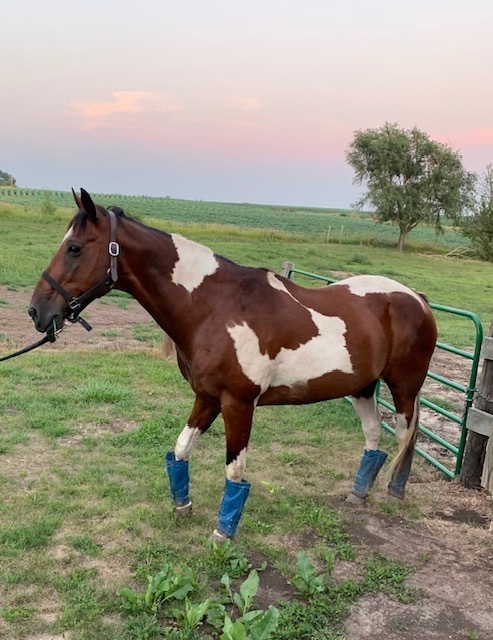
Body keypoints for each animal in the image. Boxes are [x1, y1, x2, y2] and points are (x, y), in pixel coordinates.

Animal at [27, 190, 434, 540]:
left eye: (75, 248)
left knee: (405, 436)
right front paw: (182, 506)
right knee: (373, 436)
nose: (37, 311)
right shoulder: (207, 397)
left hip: (404, 387)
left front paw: (223, 533)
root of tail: (417, 297)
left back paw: (394, 491)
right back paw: (358, 493)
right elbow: (180, 451)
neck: (215, 307)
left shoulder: (238, 403)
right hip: (362, 387)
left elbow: (234, 471)